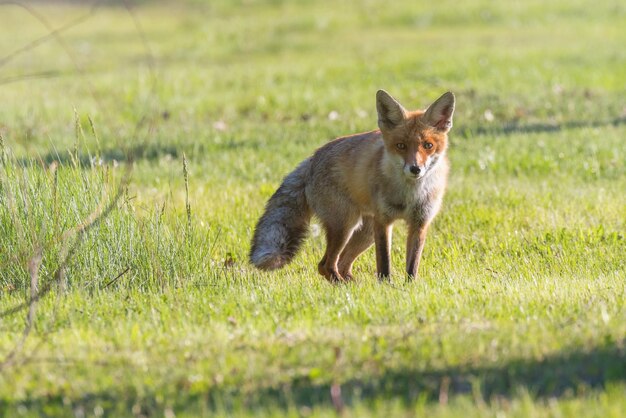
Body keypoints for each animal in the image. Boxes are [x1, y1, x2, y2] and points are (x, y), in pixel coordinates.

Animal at [249, 90, 454, 282]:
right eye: (401, 146)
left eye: (428, 145)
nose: (415, 169)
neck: (409, 194)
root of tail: (313, 157)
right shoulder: (383, 221)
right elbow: (384, 264)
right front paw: (387, 287)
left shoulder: (420, 222)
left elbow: (412, 266)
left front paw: (408, 287)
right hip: (345, 225)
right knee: (326, 265)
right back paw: (343, 286)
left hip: (365, 232)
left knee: (342, 264)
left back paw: (354, 284)